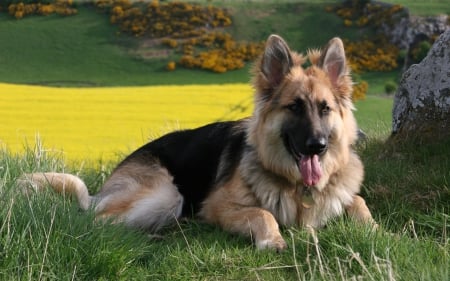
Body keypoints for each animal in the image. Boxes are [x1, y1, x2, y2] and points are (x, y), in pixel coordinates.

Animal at [20, 34, 372, 250]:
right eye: (295, 107)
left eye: (324, 109)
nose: (318, 146)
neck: (298, 187)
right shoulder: (218, 206)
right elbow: (264, 213)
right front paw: (272, 240)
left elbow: (358, 201)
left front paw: (375, 230)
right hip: (167, 194)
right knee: (96, 222)